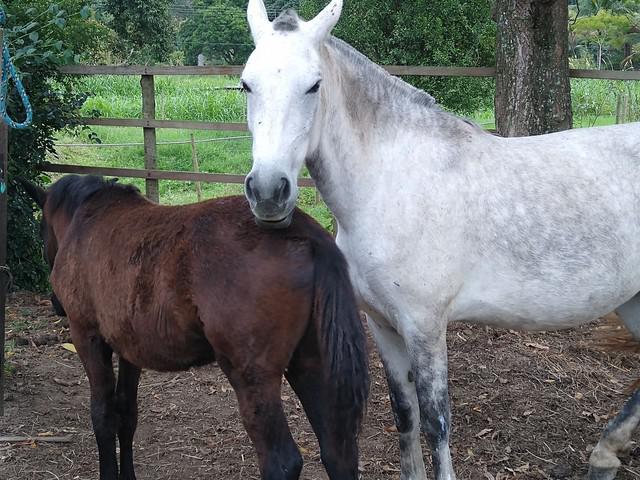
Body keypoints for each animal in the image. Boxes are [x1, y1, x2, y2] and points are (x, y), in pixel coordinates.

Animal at [240, 1, 640, 478]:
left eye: (313, 86)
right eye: (246, 84)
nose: (268, 192)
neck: (391, 181)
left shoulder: (425, 327)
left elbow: (436, 422)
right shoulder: (383, 325)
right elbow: (405, 415)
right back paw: (605, 456)